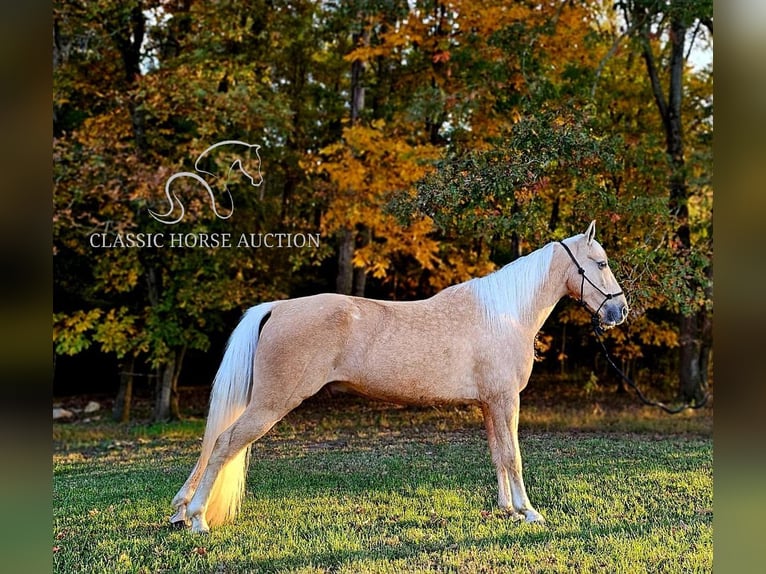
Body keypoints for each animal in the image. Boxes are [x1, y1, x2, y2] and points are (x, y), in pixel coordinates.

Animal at [171, 222, 628, 536]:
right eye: (601, 263)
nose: (619, 311)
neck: (504, 313)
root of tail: (277, 306)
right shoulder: (504, 400)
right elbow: (513, 456)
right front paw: (529, 512)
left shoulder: (489, 404)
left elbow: (499, 455)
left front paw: (508, 509)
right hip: (271, 404)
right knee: (224, 443)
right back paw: (197, 519)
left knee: (214, 443)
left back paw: (180, 511)